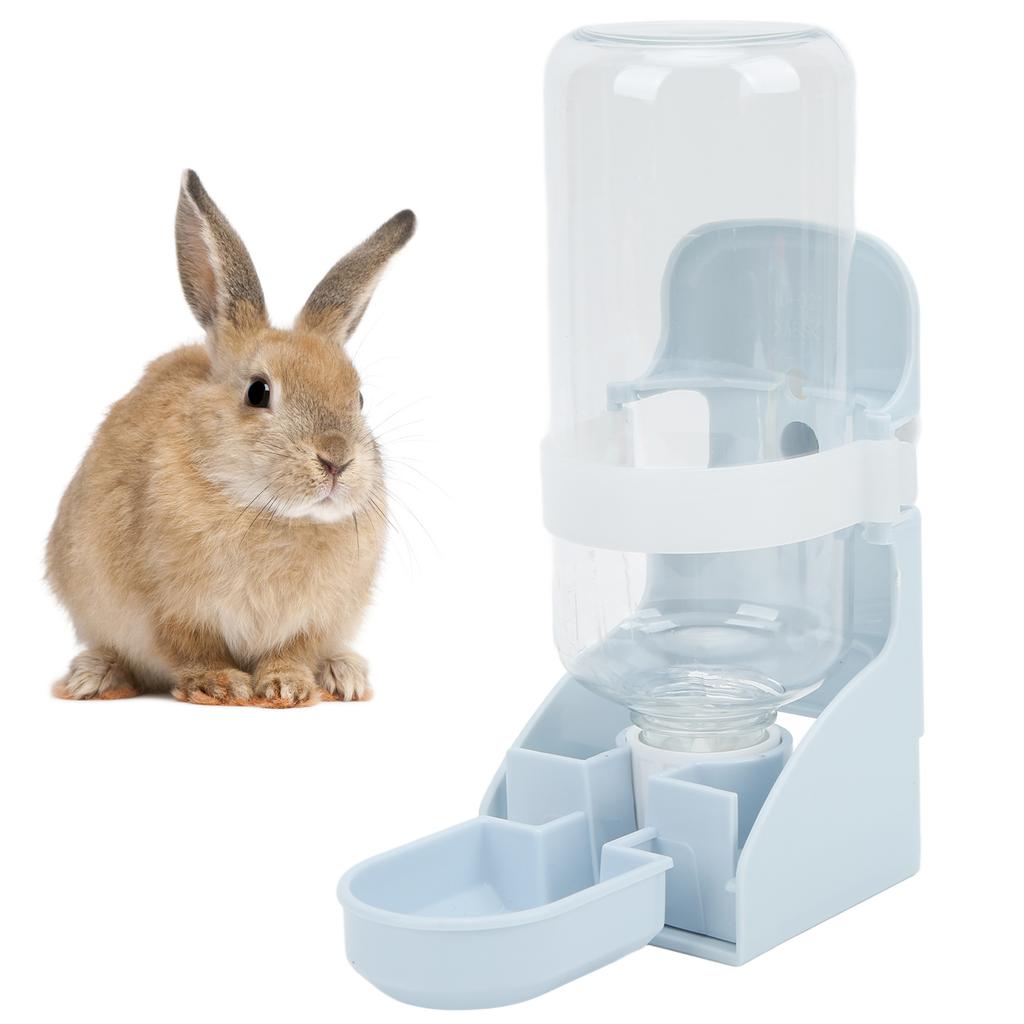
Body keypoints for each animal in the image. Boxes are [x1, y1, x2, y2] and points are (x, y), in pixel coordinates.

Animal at [46, 170, 414, 707]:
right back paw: (93, 677)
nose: (336, 460)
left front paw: (287, 687)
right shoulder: (171, 609)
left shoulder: (314, 619)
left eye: (360, 398)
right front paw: (220, 685)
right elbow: (193, 649)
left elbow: (293, 651)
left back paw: (344, 675)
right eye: (259, 391)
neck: (269, 512)